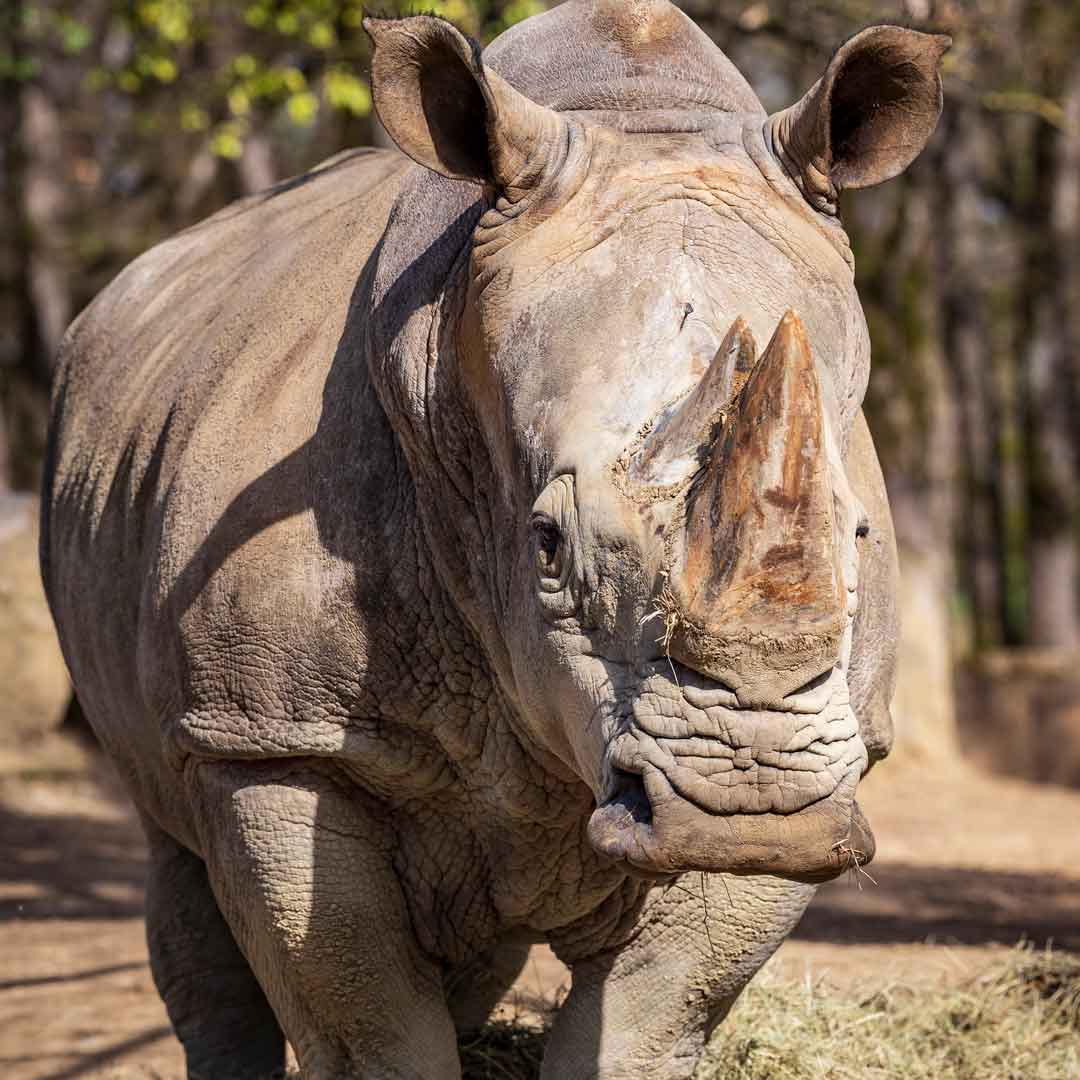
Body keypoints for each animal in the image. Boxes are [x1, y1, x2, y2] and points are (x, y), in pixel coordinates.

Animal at [41, 2, 948, 1076]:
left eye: (860, 533)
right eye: (546, 544)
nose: (744, 795)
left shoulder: (824, 764)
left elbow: (651, 1021)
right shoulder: (267, 735)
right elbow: (371, 1029)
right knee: (178, 862)